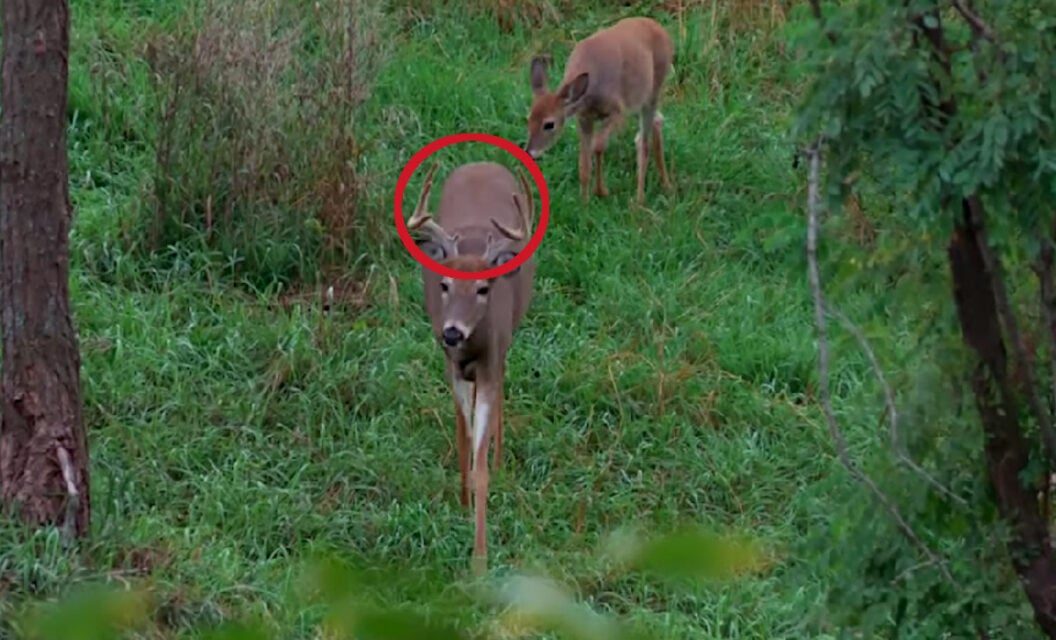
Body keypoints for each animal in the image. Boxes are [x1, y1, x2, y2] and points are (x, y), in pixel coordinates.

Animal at [403, 160, 536, 578]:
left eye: (482, 288)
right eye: (445, 283)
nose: (451, 331)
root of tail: (482, 163)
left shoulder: (492, 360)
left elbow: (481, 464)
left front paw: (479, 560)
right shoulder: (454, 367)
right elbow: (463, 434)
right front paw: (461, 502)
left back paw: (499, 455)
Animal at [521, 16, 675, 204]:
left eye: (549, 124)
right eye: (528, 119)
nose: (530, 152)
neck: (589, 95)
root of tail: (661, 29)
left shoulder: (617, 111)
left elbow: (599, 146)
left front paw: (601, 191)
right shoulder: (584, 118)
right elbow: (584, 162)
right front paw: (584, 201)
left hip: (654, 89)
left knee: (643, 142)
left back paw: (639, 200)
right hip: (639, 100)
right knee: (658, 121)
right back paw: (666, 185)